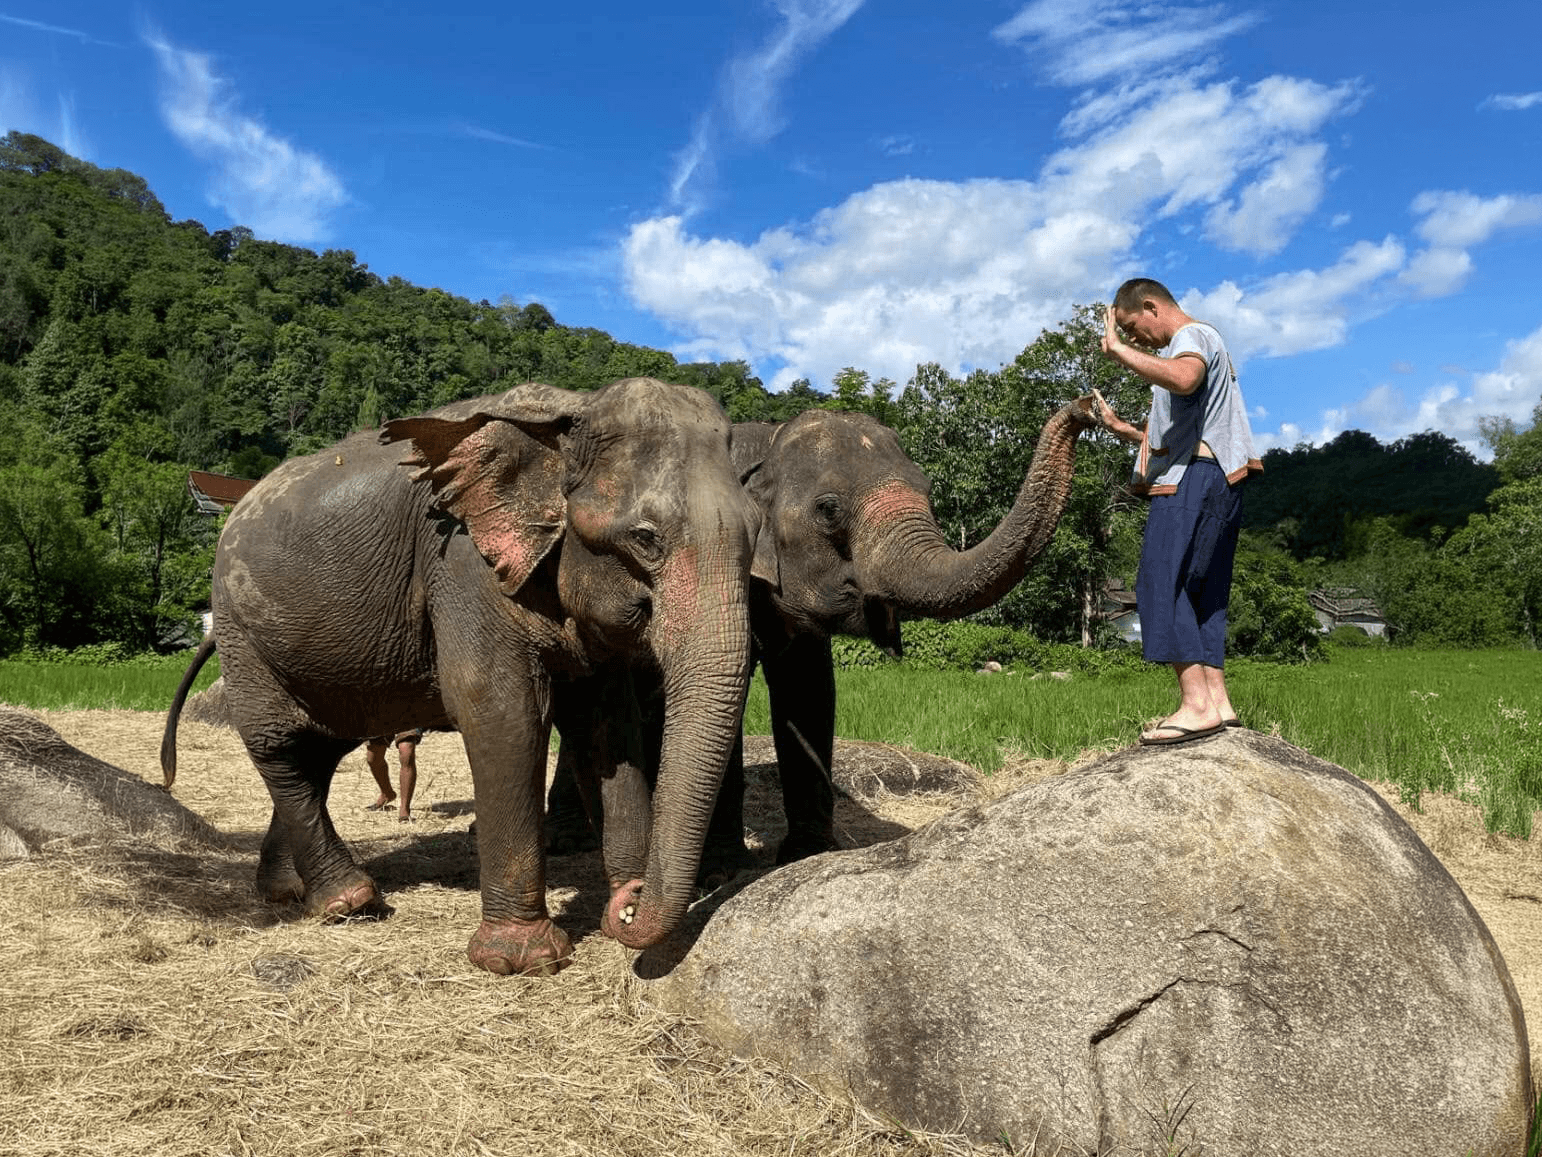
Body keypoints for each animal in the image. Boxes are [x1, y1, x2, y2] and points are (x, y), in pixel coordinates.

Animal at [160, 377, 756, 976]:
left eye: (755, 534)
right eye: (645, 538)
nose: (631, 903)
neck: (570, 412)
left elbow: (607, 725)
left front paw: (617, 911)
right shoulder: (461, 561)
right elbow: (502, 709)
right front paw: (522, 959)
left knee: (319, 751)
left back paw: (287, 892)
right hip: (240, 631)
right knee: (280, 746)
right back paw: (348, 900)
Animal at [547, 393, 1102, 872]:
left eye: (927, 489)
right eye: (829, 509)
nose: (1085, 406)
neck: (767, 444)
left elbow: (809, 689)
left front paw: (808, 854)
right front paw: (723, 871)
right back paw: (571, 842)